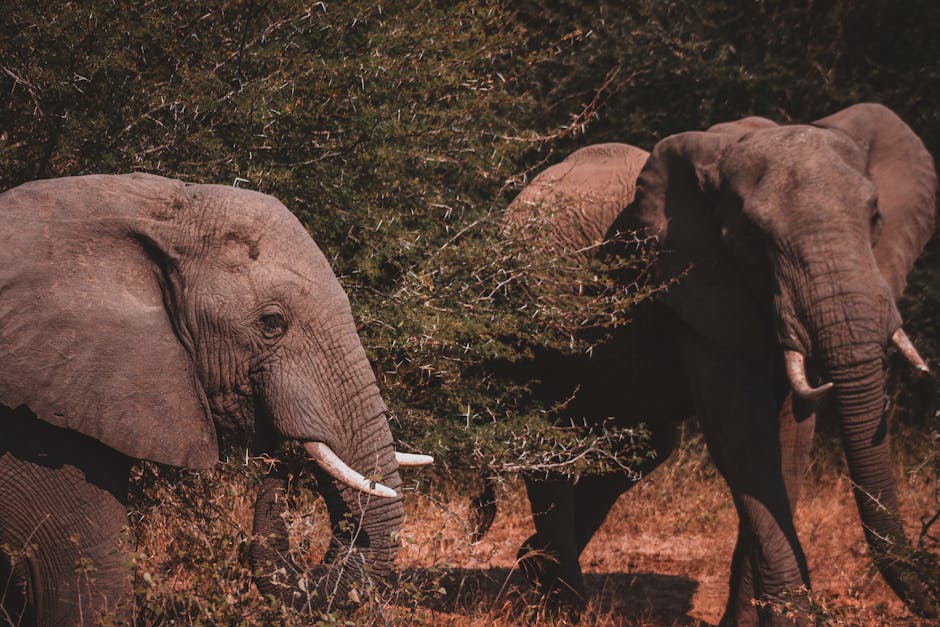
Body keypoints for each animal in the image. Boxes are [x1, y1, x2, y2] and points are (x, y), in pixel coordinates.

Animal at [504, 103, 937, 625]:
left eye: (875, 217)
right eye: (752, 237)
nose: (931, 593)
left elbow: (791, 443)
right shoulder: (695, 281)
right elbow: (744, 440)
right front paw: (792, 619)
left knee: (647, 448)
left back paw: (530, 569)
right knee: (545, 445)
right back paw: (562, 604)